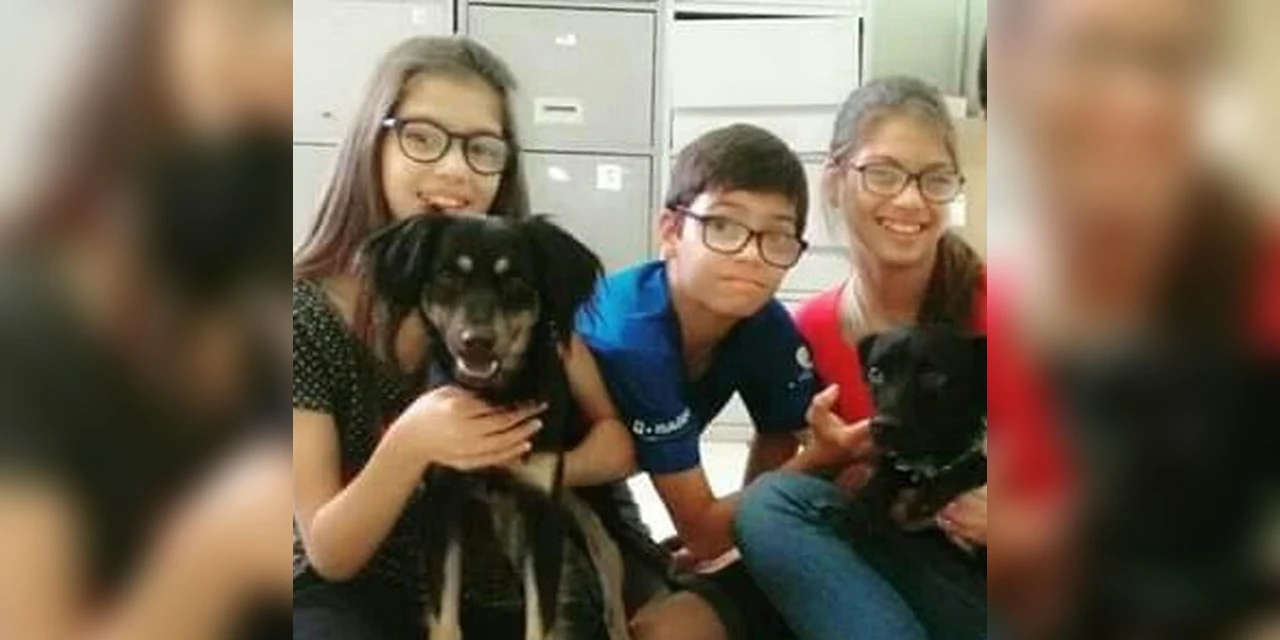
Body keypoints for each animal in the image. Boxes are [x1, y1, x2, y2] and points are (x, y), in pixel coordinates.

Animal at [362, 212, 629, 640]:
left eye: (515, 279)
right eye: (448, 275)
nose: (477, 342)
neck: (494, 395)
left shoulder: (542, 508)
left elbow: (541, 617)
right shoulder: (443, 499)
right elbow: (444, 611)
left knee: (609, 551)